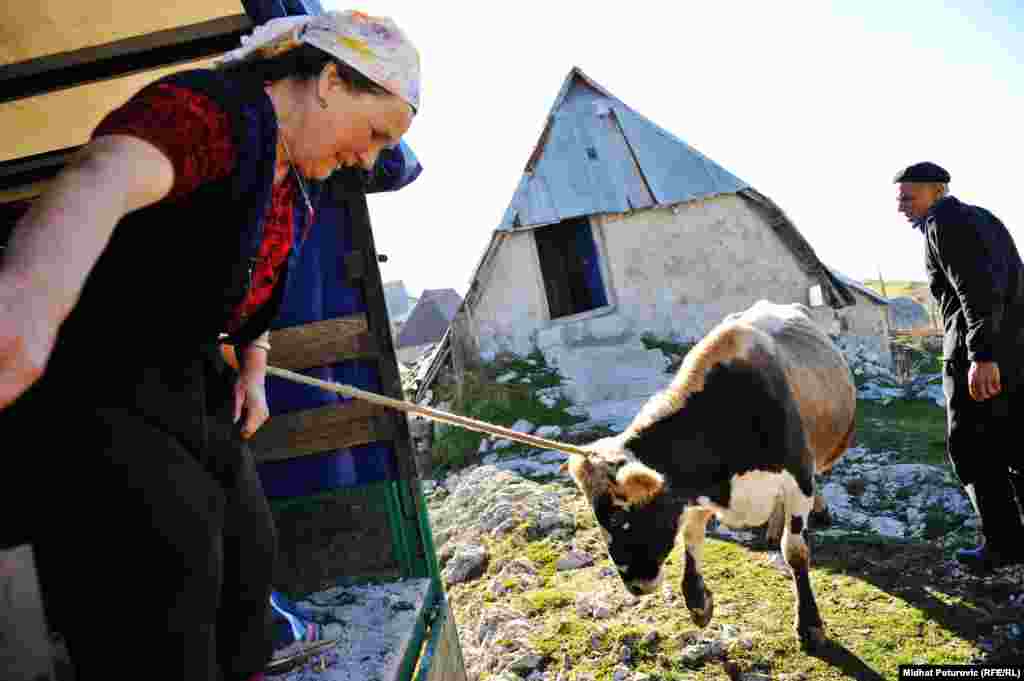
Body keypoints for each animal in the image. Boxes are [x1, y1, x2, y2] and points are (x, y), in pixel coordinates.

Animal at [561, 301, 856, 647]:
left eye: (620, 516)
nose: (634, 584)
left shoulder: (797, 476)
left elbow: (795, 551)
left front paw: (809, 624)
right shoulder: (693, 492)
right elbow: (691, 538)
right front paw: (698, 601)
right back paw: (772, 527)